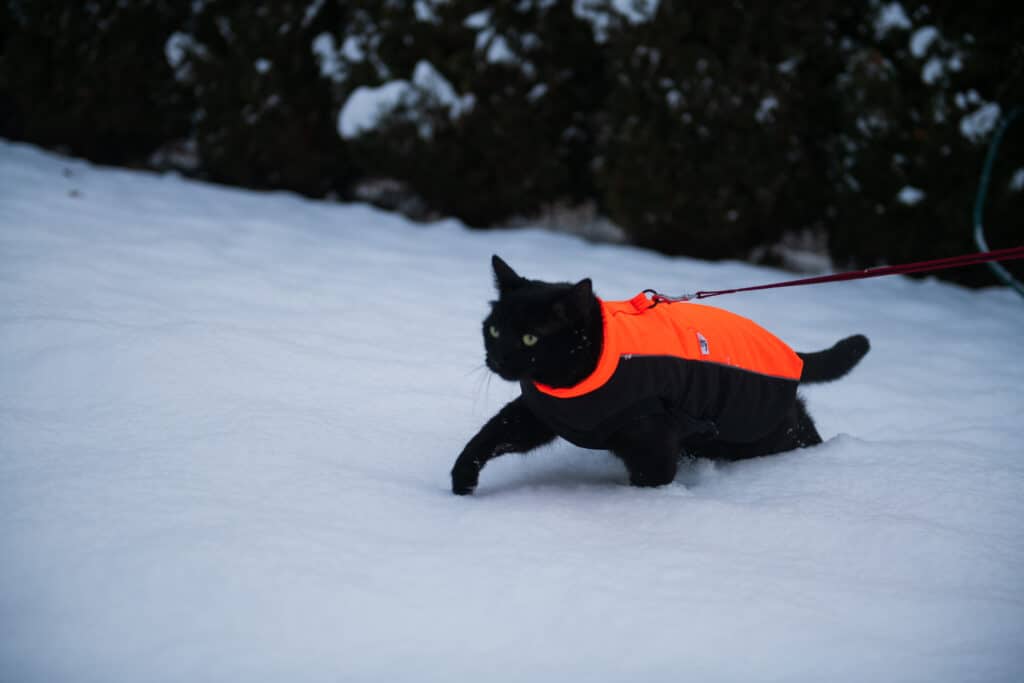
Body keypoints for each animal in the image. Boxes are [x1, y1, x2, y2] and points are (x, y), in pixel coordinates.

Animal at [452, 255, 868, 497]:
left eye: (530, 337)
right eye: (493, 329)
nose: (497, 358)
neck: (575, 383)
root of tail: (792, 355)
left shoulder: (652, 446)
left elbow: (649, 482)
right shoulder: (540, 414)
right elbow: (491, 435)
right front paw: (463, 478)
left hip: (760, 433)